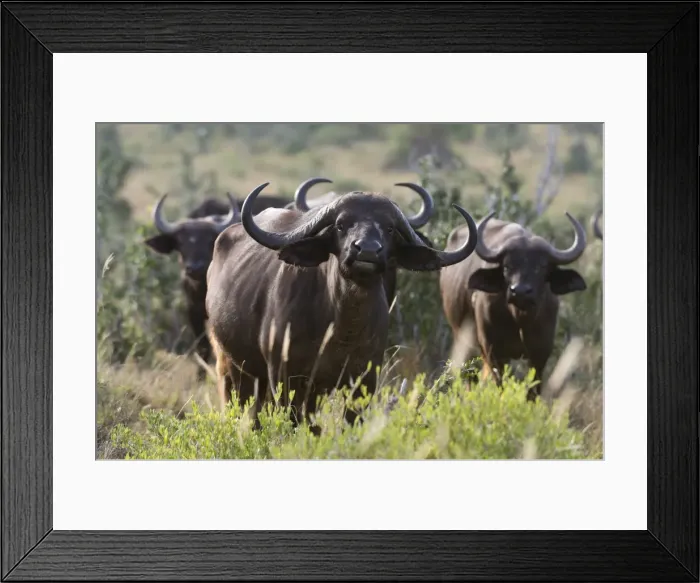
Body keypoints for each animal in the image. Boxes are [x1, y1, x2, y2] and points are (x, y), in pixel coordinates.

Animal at [206, 182, 478, 426]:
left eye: (389, 228)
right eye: (341, 224)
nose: (367, 250)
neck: (343, 328)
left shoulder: (363, 380)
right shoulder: (285, 377)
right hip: (232, 367)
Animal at [439, 212, 587, 400]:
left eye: (541, 266)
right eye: (507, 266)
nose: (520, 291)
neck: (520, 319)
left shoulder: (541, 352)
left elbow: (533, 391)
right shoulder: (493, 351)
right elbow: (500, 385)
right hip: (463, 339)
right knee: (469, 377)